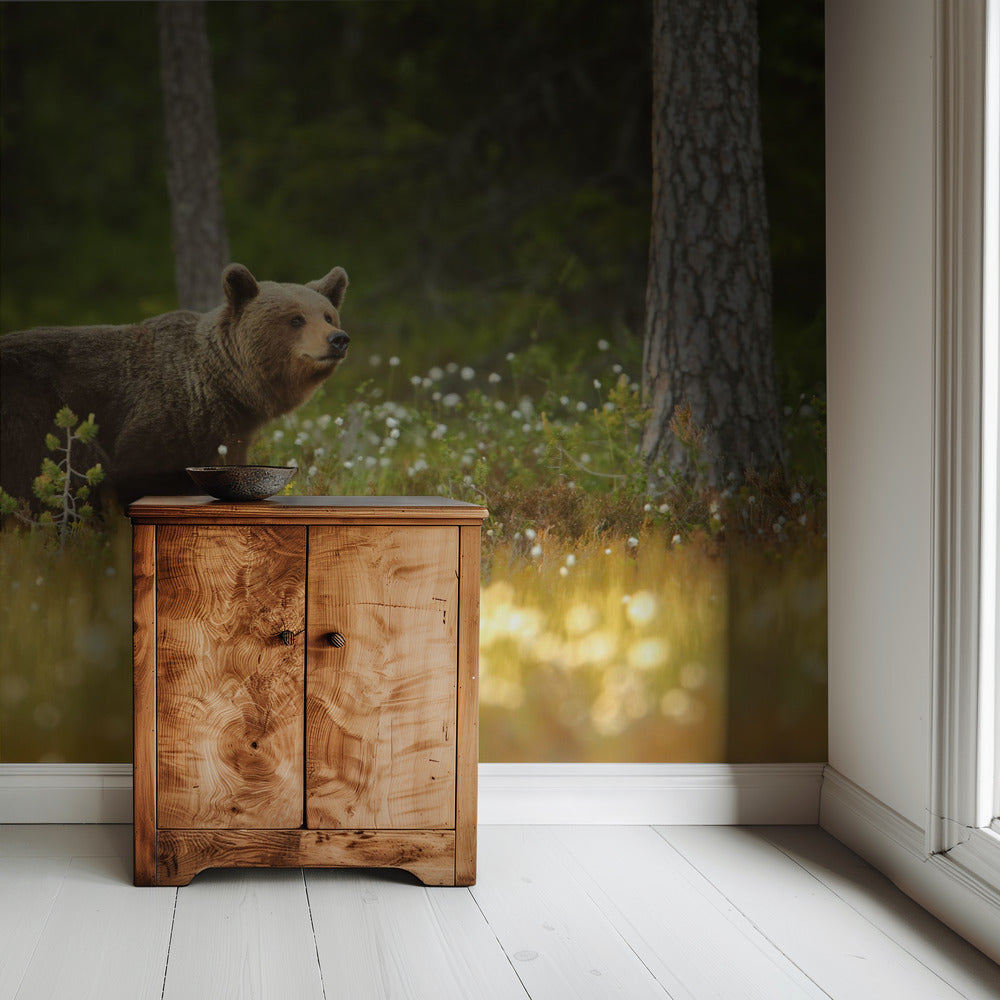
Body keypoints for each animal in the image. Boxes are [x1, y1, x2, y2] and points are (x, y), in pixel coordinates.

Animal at [0, 262, 349, 509]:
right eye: (295, 319)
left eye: (328, 316)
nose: (338, 339)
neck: (222, 387)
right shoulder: (162, 417)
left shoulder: (226, 432)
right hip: (33, 409)